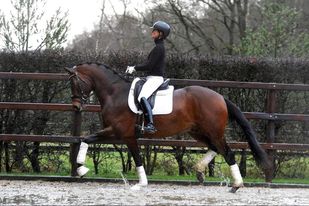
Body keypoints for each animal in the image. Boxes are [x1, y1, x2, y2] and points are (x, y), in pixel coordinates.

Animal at [64, 63, 270, 193]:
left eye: (75, 83)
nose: (76, 107)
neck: (114, 93)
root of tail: (219, 97)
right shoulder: (115, 132)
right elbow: (86, 139)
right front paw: (81, 169)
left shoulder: (124, 134)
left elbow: (137, 158)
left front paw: (141, 184)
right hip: (198, 131)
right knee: (215, 148)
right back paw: (199, 172)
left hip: (214, 131)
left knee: (228, 153)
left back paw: (236, 185)